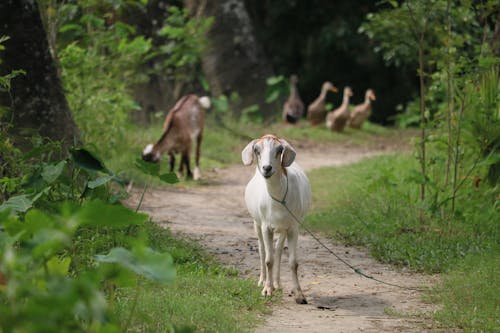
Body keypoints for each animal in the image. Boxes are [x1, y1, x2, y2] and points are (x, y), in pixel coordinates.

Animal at [241, 134, 310, 302]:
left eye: (279, 150)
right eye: (257, 150)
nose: (267, 168)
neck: (279, 199)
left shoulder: (293, 227)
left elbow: (293, 262)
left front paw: (299, 294)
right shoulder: (266, 227)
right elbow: (268, 260)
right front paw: (267, 289)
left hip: (283, 229)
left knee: (278, 250)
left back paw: (277, 284)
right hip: (256, 224)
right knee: (262, 250)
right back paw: (263, 281)